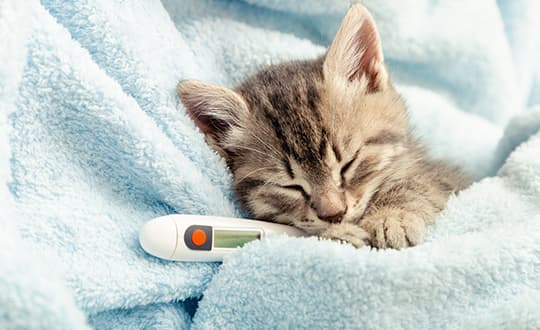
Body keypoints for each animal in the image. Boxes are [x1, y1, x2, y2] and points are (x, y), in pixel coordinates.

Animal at [177, 3, 468, 249]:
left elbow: (419, 183)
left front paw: (391, 216)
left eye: (349, 163)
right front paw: (338, 232)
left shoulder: (443, 176)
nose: (334, 214)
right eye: (289, 186)